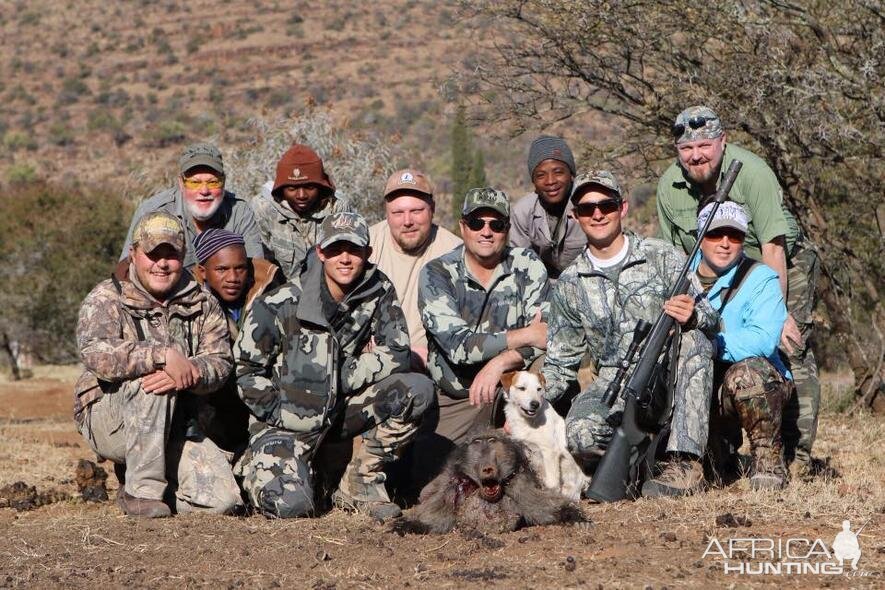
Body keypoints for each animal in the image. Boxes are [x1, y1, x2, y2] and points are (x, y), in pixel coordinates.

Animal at [500, 370, 592, 504]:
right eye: (522, 388)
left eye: (539, 389)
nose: (535, 404)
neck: (528, 422)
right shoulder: (525, 449)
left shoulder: (550, 451)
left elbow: (552, 483)